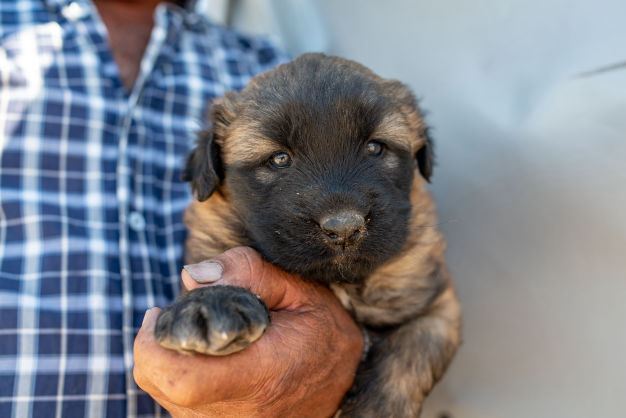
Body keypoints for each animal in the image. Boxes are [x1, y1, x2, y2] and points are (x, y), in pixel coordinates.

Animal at [154, 54, 460, 416]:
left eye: (375, 147)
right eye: (279, 159)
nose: (344, 228)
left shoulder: (436, 305)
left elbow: (409, 358)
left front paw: (374, 408)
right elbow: (215, 265)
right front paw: (208, 301)